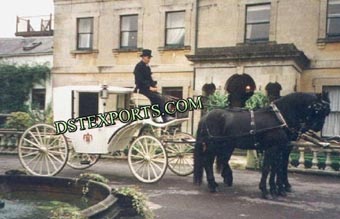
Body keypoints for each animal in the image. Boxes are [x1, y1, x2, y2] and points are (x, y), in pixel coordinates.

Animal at [194, 91, 330, 198]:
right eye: (318, 109)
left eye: (326, 112)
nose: (317, 127)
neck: (279, 118)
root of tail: (206, 116)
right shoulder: (272, 148)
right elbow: (268, 168)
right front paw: (267, 190)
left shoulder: (280, 148)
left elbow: (277, 167)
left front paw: (277, 188)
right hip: (213, 145)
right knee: (208, 161)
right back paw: (213, 185)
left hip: (224, 145)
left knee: (218, 160)